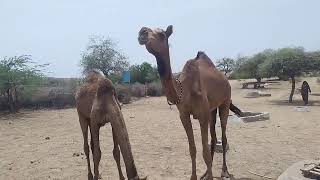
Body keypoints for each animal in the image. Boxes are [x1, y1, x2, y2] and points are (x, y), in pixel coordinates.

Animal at [138, 25, 242, 180]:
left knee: (223, 137)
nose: (142, 32)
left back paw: (224, 171)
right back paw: (206, 173)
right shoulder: (184, 115)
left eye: (162, 34)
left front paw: (211, 176)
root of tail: (226, 80)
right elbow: (192, 149)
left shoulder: (202, 115)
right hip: (212, 110)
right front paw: (195, 176)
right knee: (213, 138)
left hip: (225, 102)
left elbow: (204, 151)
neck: (185, 89)